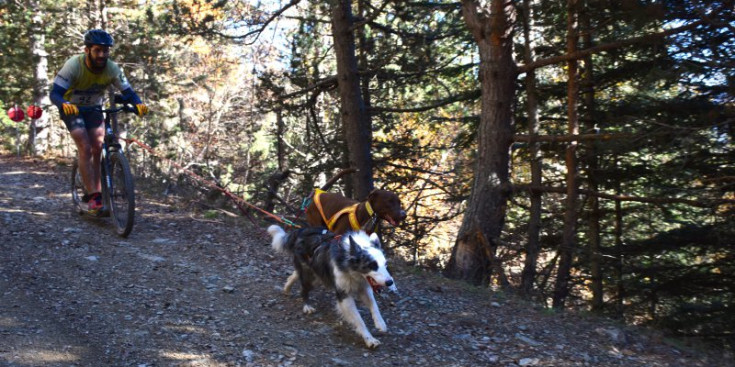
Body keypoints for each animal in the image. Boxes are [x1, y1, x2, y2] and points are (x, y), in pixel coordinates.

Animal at [268, 224, 396, 348]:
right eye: (372, 265)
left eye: (385, 264)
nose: (390, 282)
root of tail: (302, 230)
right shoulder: (344, 295)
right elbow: (359, 320)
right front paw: (369, 339)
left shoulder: (363, 287)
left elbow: (374, 305)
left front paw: (380, 323)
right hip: (312, 277)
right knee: (303, 289)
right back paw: (306, 306)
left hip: (317, 273)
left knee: (295, 274)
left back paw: (287, 287)